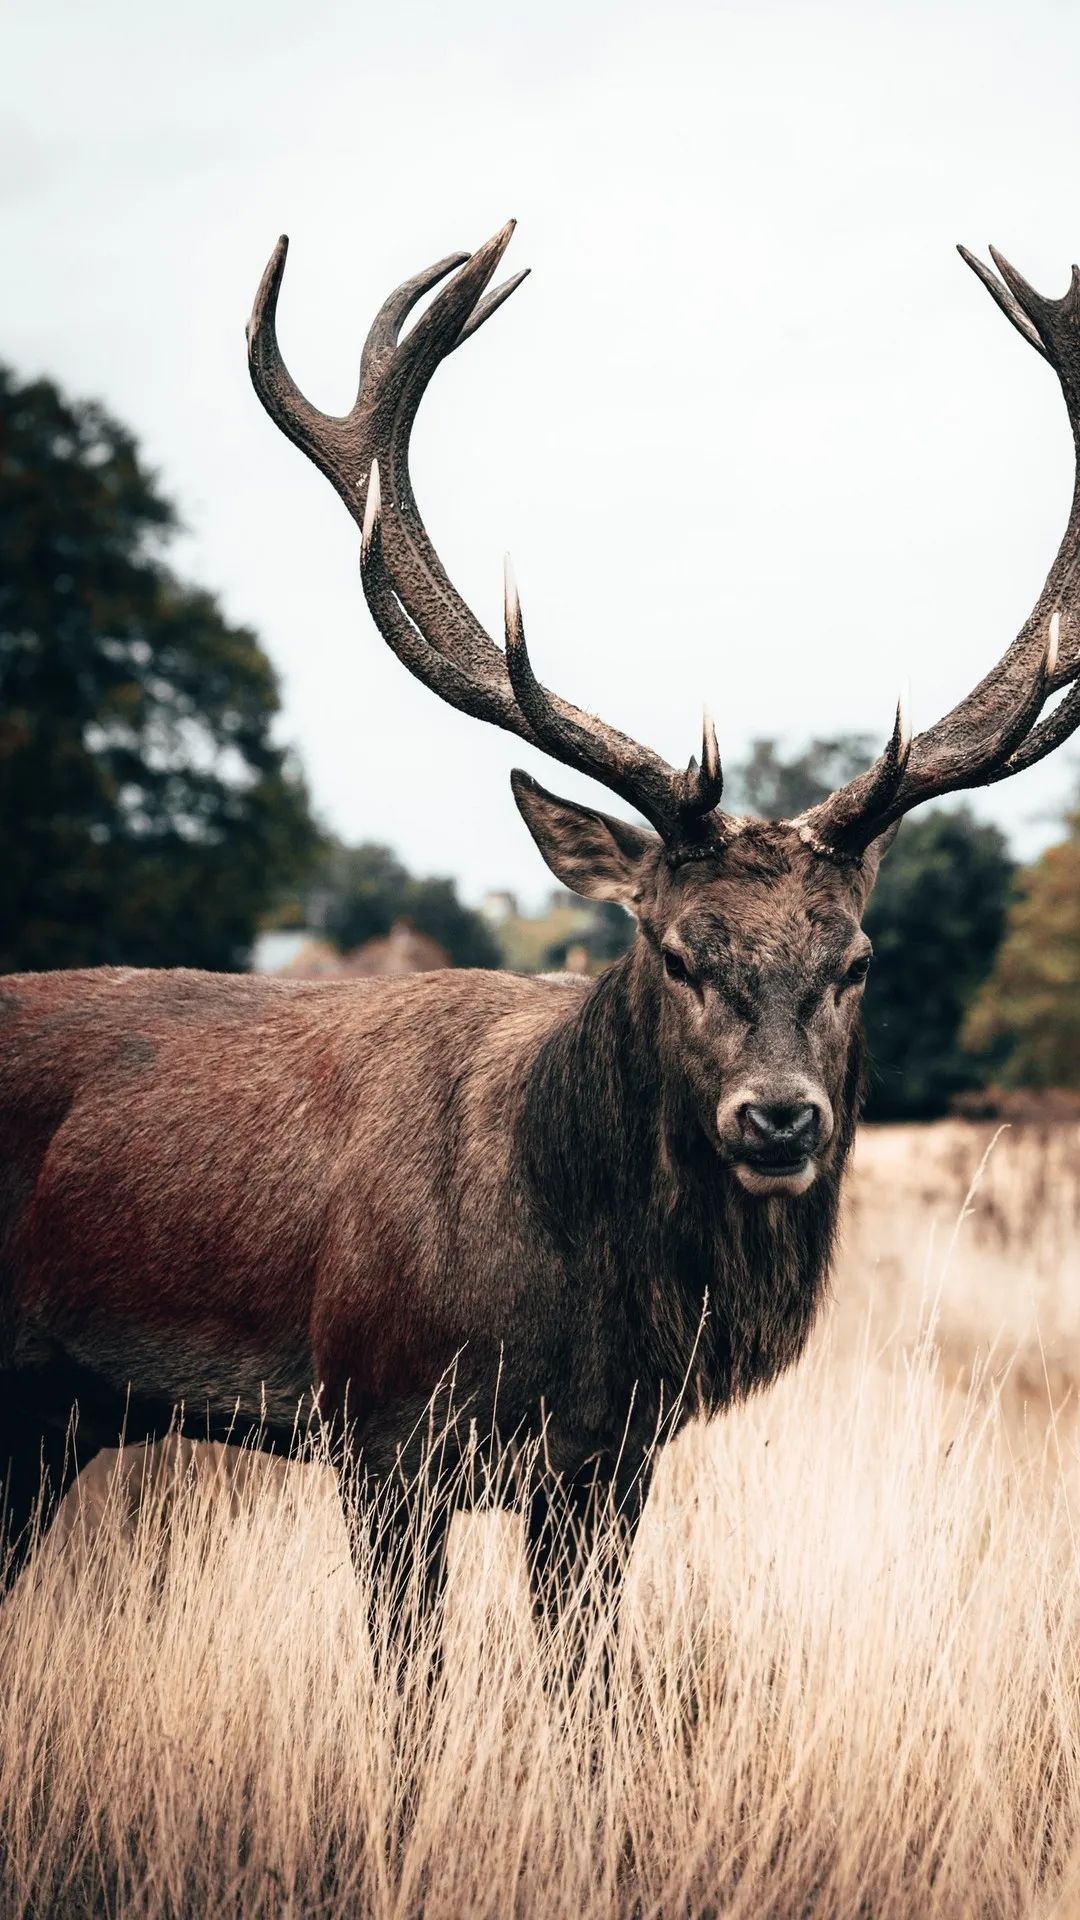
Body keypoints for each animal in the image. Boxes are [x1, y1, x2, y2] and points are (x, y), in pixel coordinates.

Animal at [2, 225, 1080, 1662]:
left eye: (855, 961)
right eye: (675, 950)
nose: (779, 1118)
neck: (581, 1314)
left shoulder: (609, 1466)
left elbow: (586, 1688)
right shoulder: (381, 1428)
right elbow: (410, 1693)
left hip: (57, 1416)